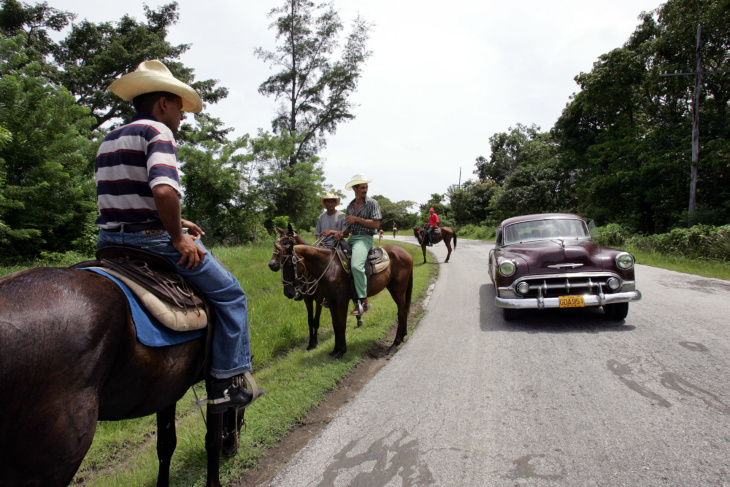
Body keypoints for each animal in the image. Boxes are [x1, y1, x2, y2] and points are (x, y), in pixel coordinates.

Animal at [0, 266, 245, 487]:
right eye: (240, 409)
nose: (232, 449)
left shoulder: (168, 388)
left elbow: (165, 445)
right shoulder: (213, 381)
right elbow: (212, 438)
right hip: (55, 458)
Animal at [274, 234, 410, 360]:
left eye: (289, 264)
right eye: (281, 265)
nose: (288, 292)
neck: (330, 268)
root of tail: (405, 253)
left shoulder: (341, 301)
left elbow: (341, 324)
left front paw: (342, 351)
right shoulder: (331, 301)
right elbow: (335, 324)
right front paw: (335, 350)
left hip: (398, 290)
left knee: (401, 312)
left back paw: (394, 344)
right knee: (404, 311)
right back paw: (402, 336)